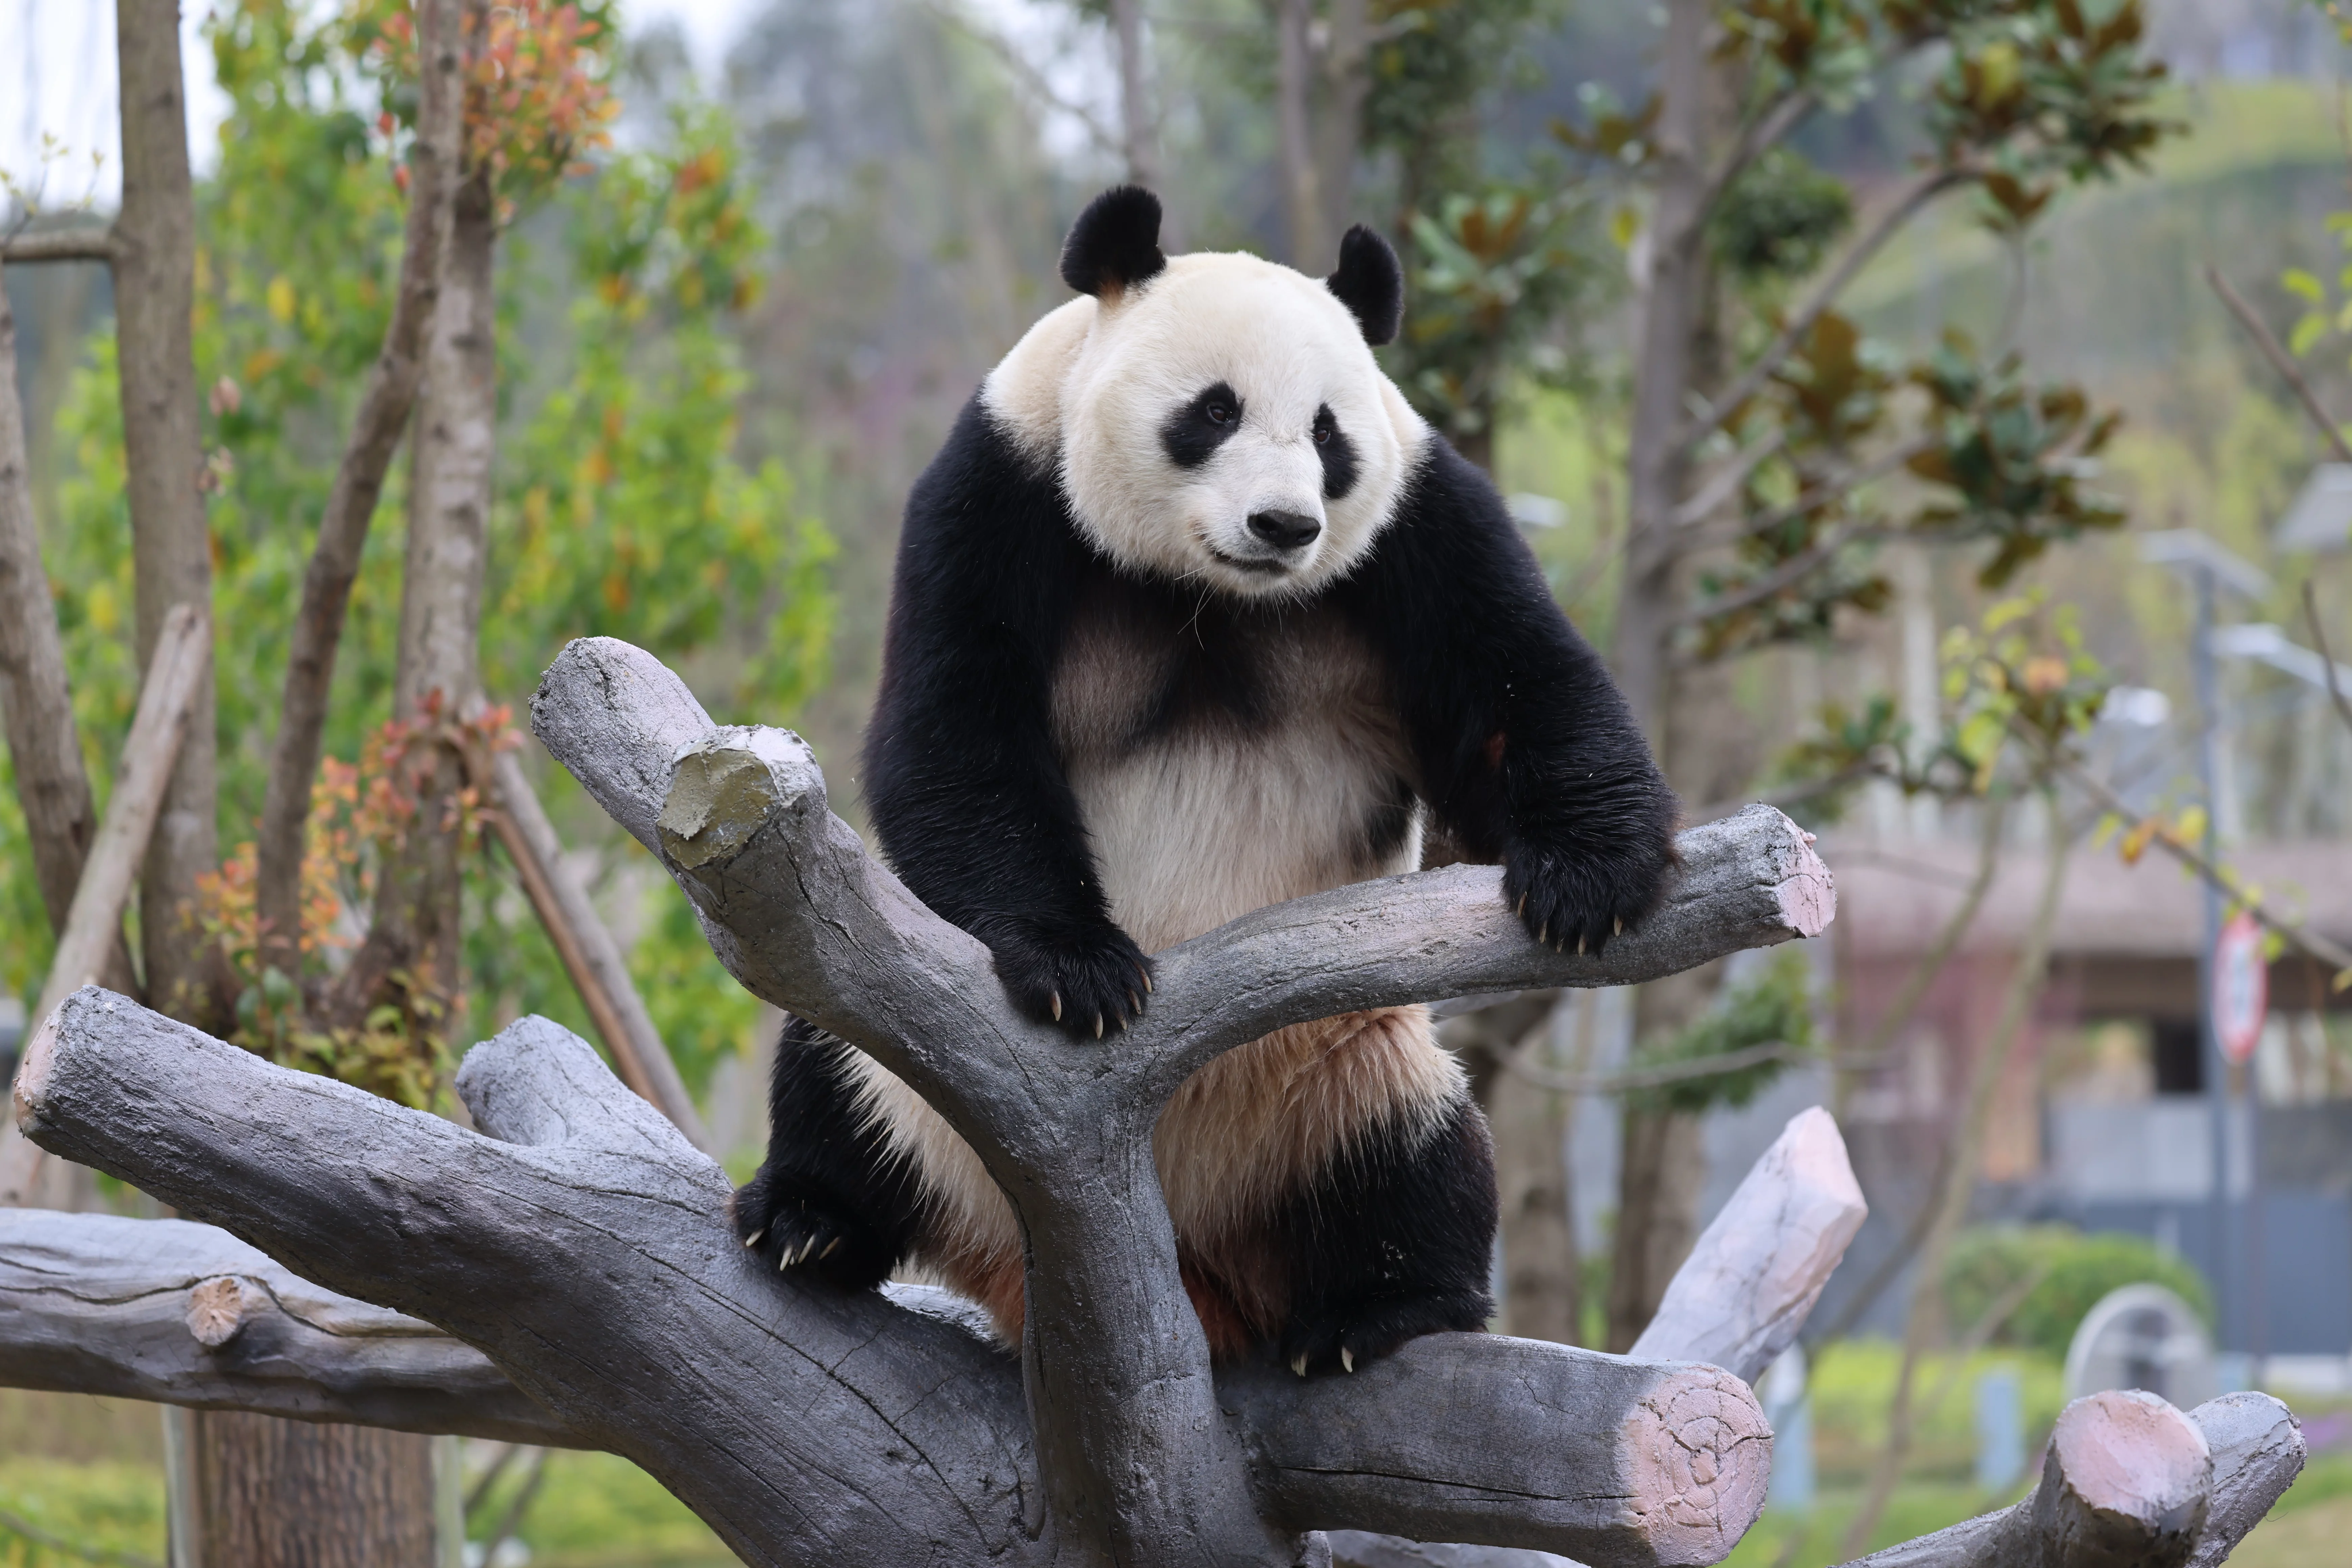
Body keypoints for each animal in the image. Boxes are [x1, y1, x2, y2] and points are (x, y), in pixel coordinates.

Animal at [731, 186, 1679, 1375]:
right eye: (1213, 412)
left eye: (1328, 435)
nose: (1284, 525)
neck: (1206, 589)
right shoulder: (1000, 492)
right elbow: (957, 729)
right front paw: (1081, 969)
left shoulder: (1419, 522)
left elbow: (1515, 683)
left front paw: (1590, 876)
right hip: (910, 1068)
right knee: (836, 1065)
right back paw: (810, 1221)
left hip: (1332, 1070)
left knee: (1415, 1152)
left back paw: (1380, 1306)